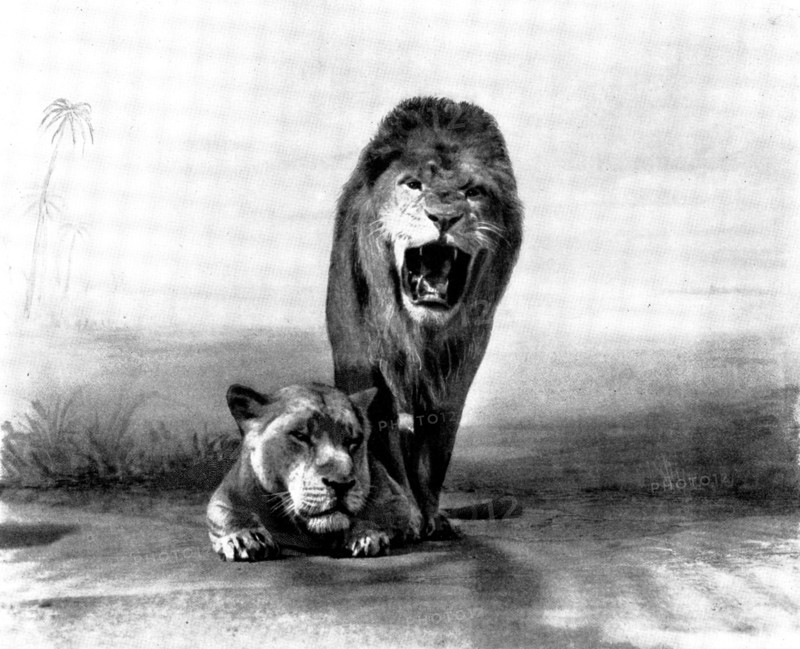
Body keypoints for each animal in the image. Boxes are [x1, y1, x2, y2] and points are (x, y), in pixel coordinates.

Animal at [207, 383, 415, 560]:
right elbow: (229, 515)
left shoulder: (395, 497)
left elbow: (378, 513)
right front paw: (245, 537)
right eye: (300, 436)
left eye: (353, 441)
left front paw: (365, 535)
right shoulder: (225, 496)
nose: (341, 485)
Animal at [326, 96, 524, 538]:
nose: (444, 217)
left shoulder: (457, 369)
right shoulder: (362, 359)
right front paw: (403, 515)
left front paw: (431, 514)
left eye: (473, 191)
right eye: (413, 184)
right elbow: (379, 437)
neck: (419, 332)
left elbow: (437, 444)